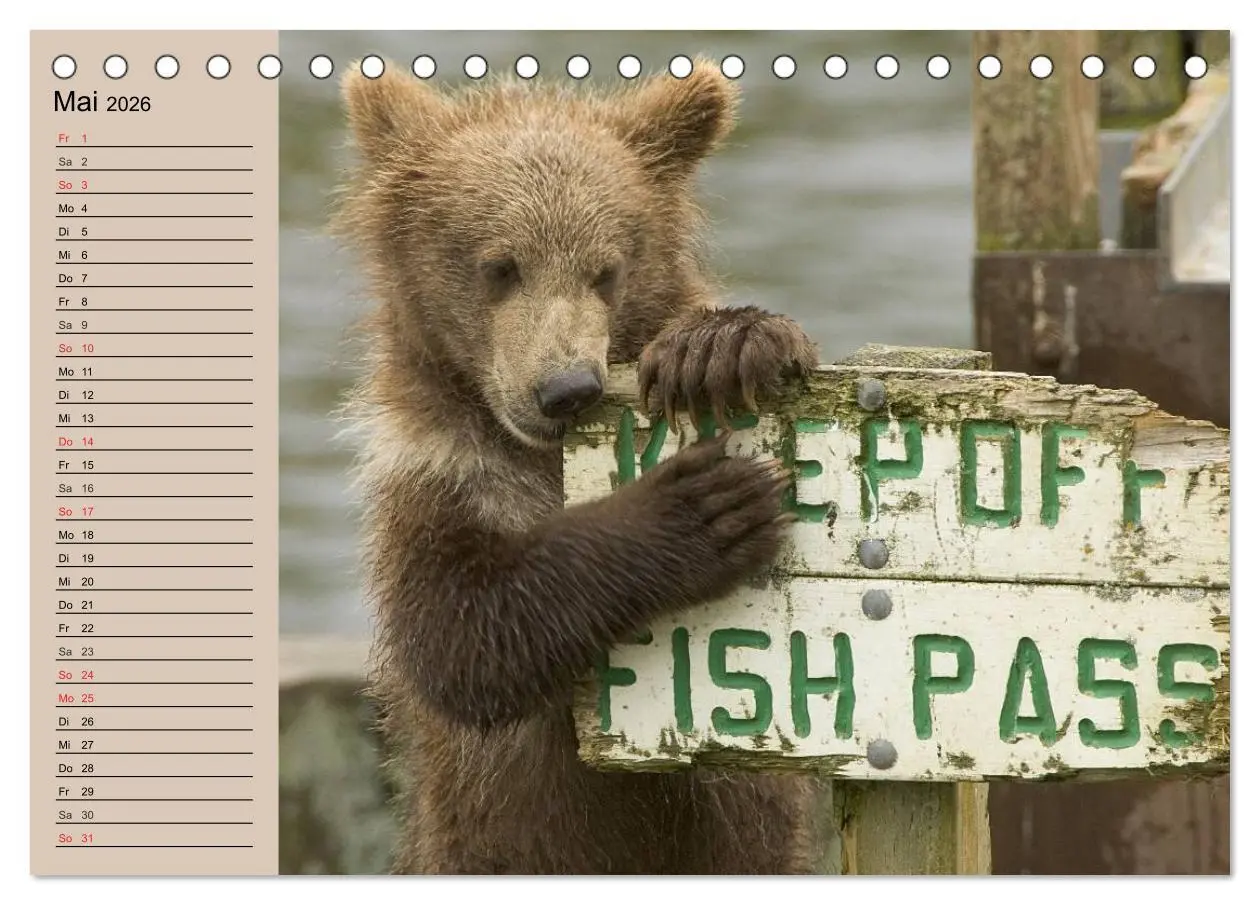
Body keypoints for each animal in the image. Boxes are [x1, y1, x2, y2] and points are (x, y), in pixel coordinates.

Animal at [332, 57, 831, 875]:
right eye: (501, 266)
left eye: (606, 270)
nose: (567, 388)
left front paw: (719, 348)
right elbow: (464, 636)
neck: (533, 456)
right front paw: (706, 506)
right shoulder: (432, 473)